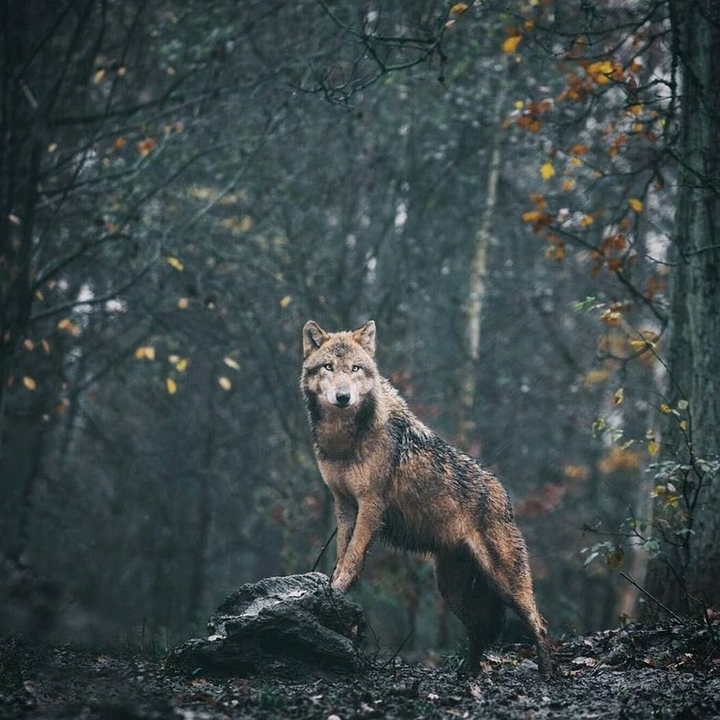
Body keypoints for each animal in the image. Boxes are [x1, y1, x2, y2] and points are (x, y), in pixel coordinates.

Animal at [301, 319, 553, 675]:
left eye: (355, 368)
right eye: (328, 367)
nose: (343, 396)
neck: (345, 441)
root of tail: (504, 497)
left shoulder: (370, 506)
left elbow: (352, 558)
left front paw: (335, 593)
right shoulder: (344, 505)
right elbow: (341, 554)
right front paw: (330, 589)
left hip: (505, 581)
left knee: (538, 622)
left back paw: (547, 673)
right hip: (453, 589)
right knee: (479, 633)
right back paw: (467, 676)